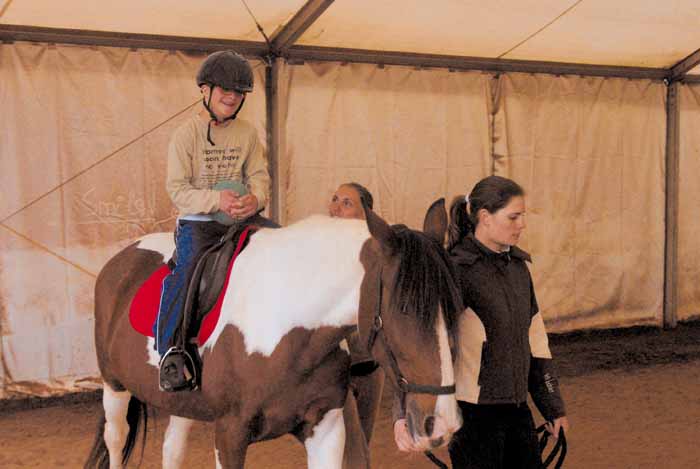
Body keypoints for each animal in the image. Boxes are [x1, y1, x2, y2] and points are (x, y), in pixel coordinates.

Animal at [85, 199, 462, 466]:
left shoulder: (325, 429)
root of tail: (121, 258)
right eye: (405, 309)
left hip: (179, 399)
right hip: (114, 386)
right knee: (116, 439)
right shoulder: (230, 435)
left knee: (171, 450)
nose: (441, 424)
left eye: (453, 308)